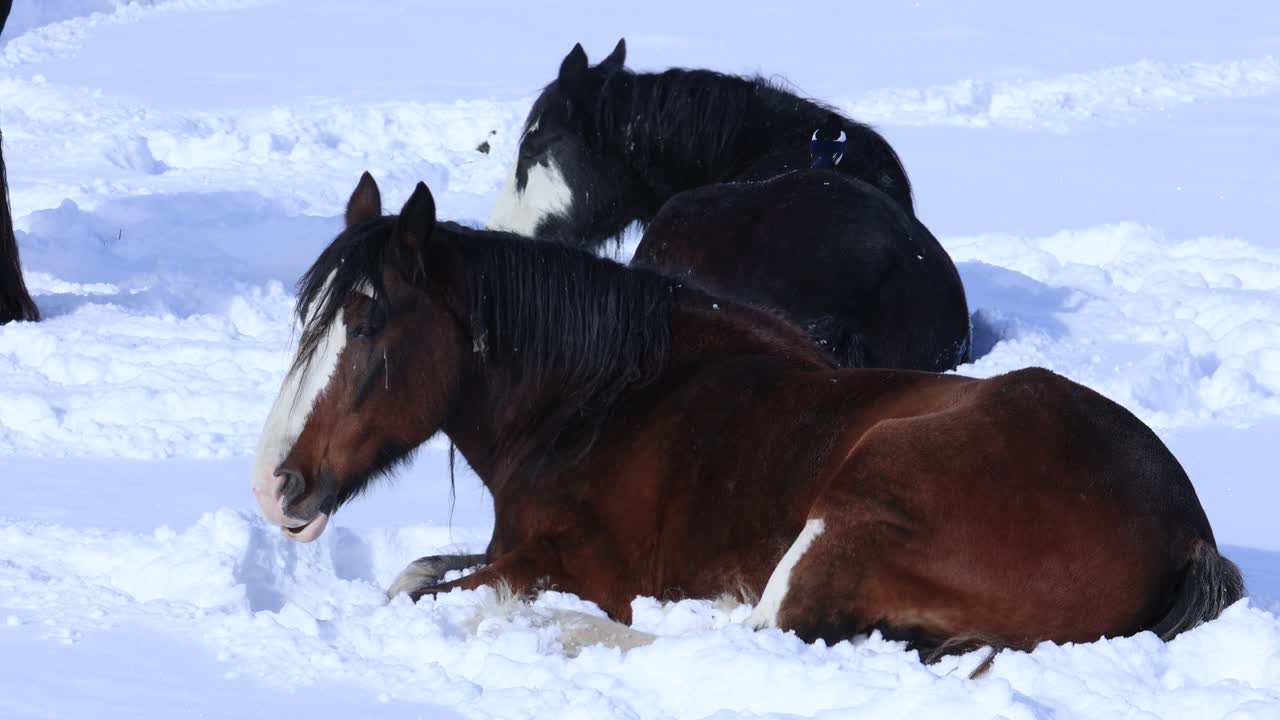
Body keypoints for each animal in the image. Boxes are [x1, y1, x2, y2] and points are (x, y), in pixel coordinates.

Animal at [252, 173, 1242, 662]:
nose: (275, 486)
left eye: (368, 324)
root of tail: (1186, 530)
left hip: (854, 508)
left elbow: (442, 596)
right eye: (310, 320)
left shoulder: (562, 566)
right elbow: (413, 574)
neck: (597, 404)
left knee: (757, 632)